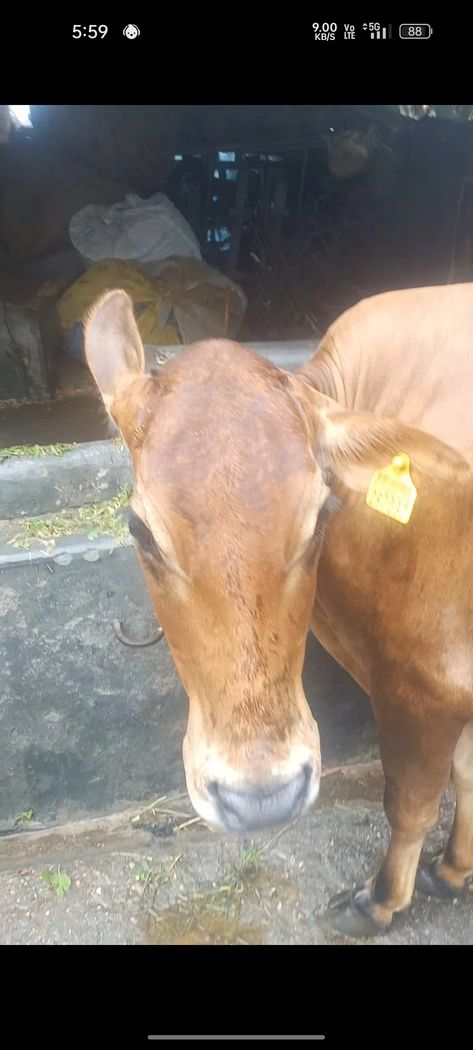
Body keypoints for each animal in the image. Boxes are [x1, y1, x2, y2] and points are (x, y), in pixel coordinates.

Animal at [84, 284, 473, 939]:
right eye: (140, 529)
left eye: (320, 515)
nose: (261, 797)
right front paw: (453, 871)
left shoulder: (426, 682)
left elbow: (411, 799)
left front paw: (380, 901)